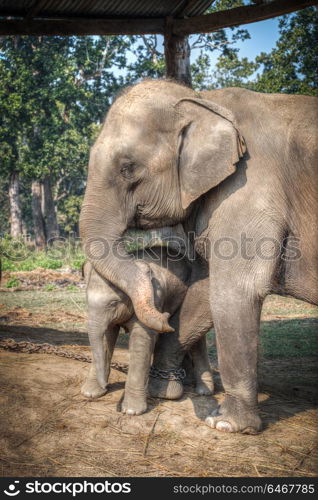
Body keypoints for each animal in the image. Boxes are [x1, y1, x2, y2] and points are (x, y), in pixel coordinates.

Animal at [80, 248, 214, 416]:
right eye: (86, 301)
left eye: (113, 303)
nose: (105, 385)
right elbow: (107, 335)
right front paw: (90, 393)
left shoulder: (154, 298)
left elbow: (141, 340)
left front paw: (132, 411)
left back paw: (204, 391)